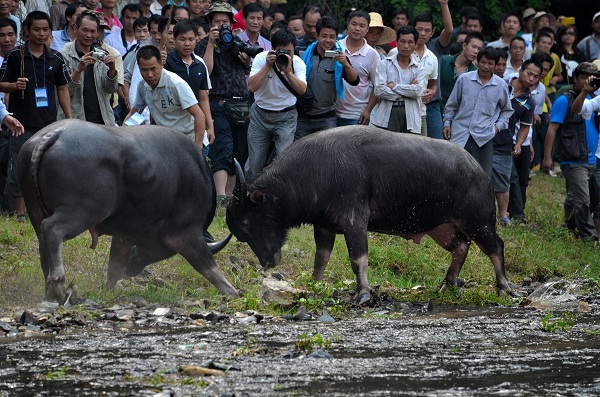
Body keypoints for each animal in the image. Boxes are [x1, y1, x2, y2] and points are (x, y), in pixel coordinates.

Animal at [17, 119, 237, 302]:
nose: (133, 268)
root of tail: (54, 134)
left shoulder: (125, 235)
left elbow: (114, 266)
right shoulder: (185, 232)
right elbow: (208, 266)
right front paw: (232, 291)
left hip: (35, 211)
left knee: (42, 241)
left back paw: (49, 289)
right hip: (82, 211)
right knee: (52, 230)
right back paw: (58, 285)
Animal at [229, 125, 510, 302]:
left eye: (247, 220)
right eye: (240, 232)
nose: (267, 261)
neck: (314, 172)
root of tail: (478, 170)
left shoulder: (354, 220)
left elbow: (358, 258)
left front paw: (363, 292)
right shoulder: (324, 226)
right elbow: (321, 259)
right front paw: (315, 284)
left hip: (479, 220)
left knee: (495, 246)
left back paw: (503, 286)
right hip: (442, 228)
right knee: (461, 247)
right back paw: (448, 283)